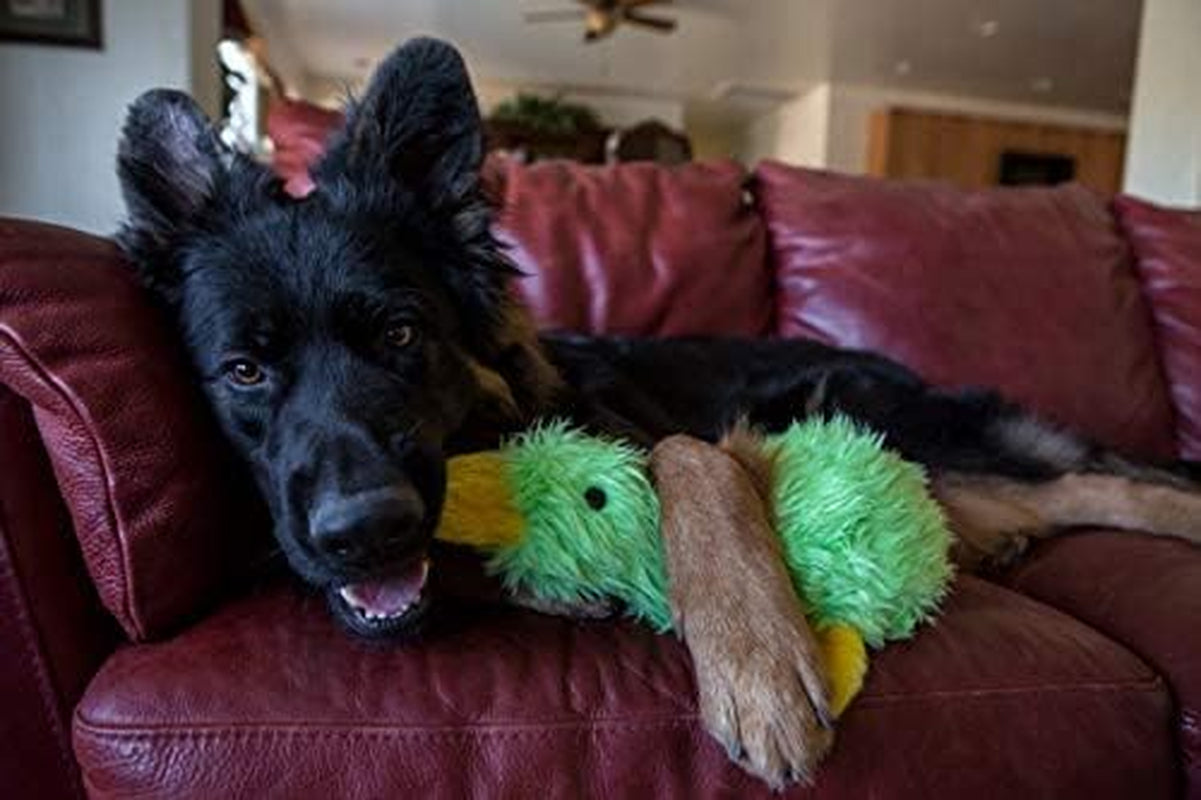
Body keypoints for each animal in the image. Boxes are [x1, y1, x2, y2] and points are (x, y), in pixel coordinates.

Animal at [114, 40, 1201, 783]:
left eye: (400, 334)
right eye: (243, 371)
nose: (366, 531)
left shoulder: (689, 438)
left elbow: (693, 458)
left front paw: (758, 666)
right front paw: (550, 586)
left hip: (850, 405)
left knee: (1095, 482)